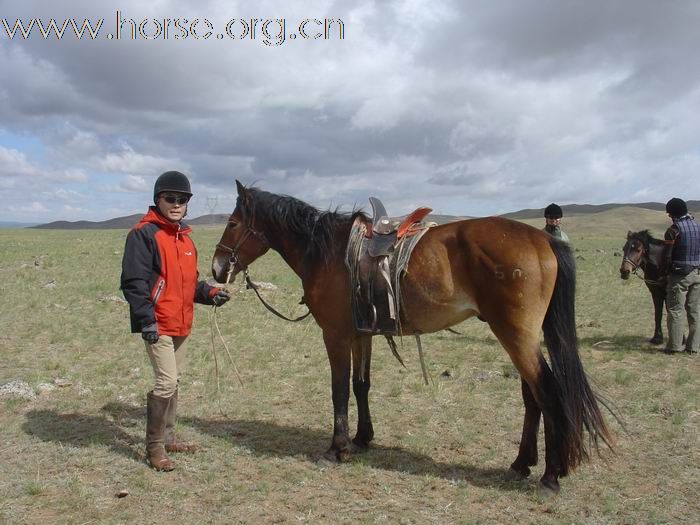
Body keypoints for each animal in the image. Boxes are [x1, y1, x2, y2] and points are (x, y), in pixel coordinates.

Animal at [212, 182, 612, 498]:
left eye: (231, 223)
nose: (216, 268)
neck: (328, 251)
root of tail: (543, 238)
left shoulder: (335, 335)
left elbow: (338, 389)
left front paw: (337, 448)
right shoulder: (361, 332)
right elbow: (360, 385)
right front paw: (362, 438)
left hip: (516, 335)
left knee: (548, 393)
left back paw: (550, 476)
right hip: (521, 338)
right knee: (533, 396)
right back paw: (521, 463)